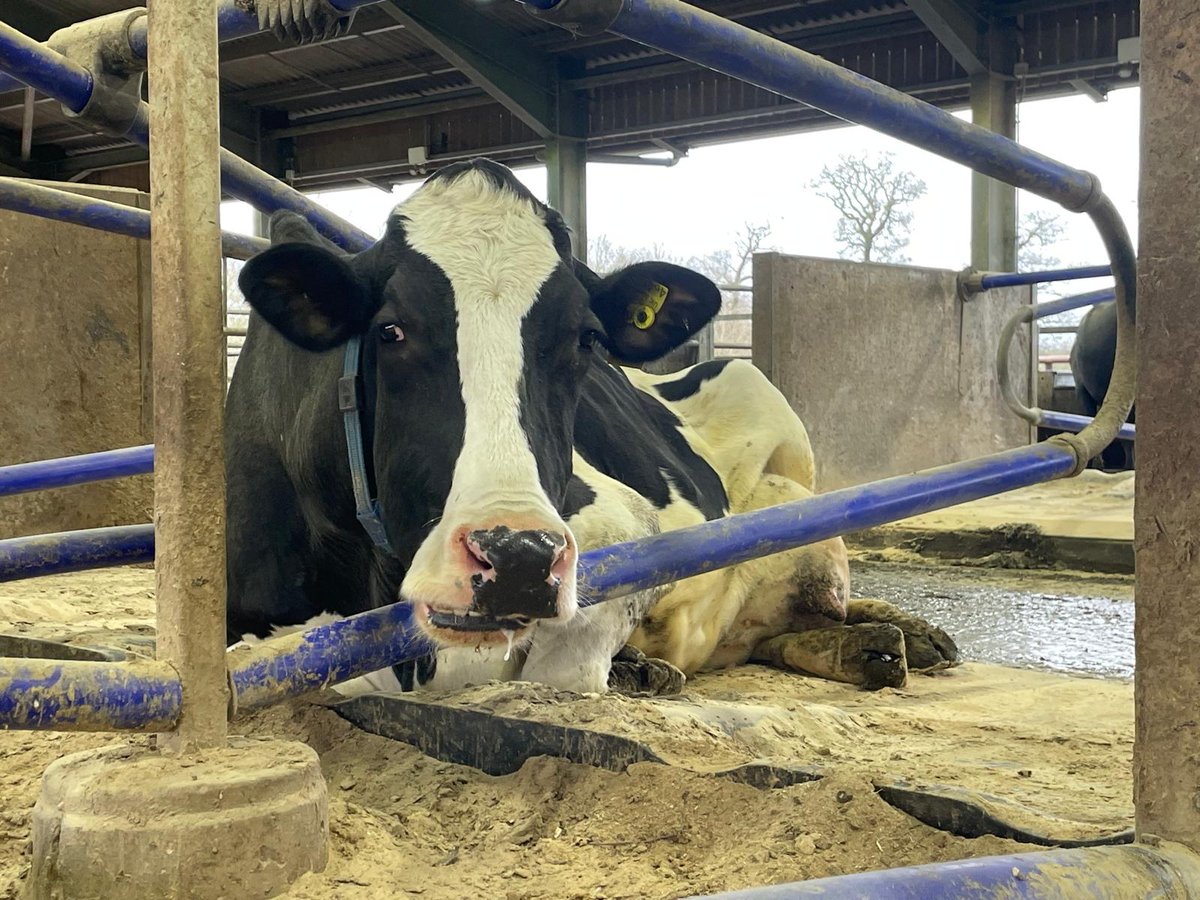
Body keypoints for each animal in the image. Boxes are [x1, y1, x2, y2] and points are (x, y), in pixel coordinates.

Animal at [226, 158, 957, 697]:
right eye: (390, 330)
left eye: (585, 339)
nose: (518, 558)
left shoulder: (625, 531)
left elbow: (559, 673)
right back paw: (869, 649)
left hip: (787, 462)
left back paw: (902, 635)